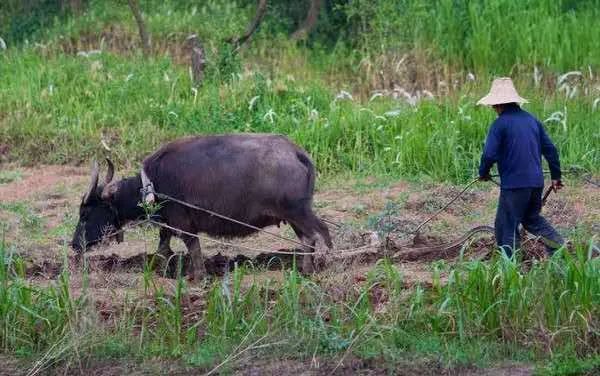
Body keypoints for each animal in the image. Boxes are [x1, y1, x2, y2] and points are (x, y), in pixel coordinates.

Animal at [72, 133, 332, 280]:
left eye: (86, 213)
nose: (74, 245)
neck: (152, 185)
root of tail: (298, 153)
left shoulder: (183, 222)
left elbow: (193, 247)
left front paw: (198, 276)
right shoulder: (167, 224)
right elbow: (163, 247)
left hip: (298, 212)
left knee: (319, 234)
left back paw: (316, 267)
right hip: (295, 216)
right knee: (309, 237)